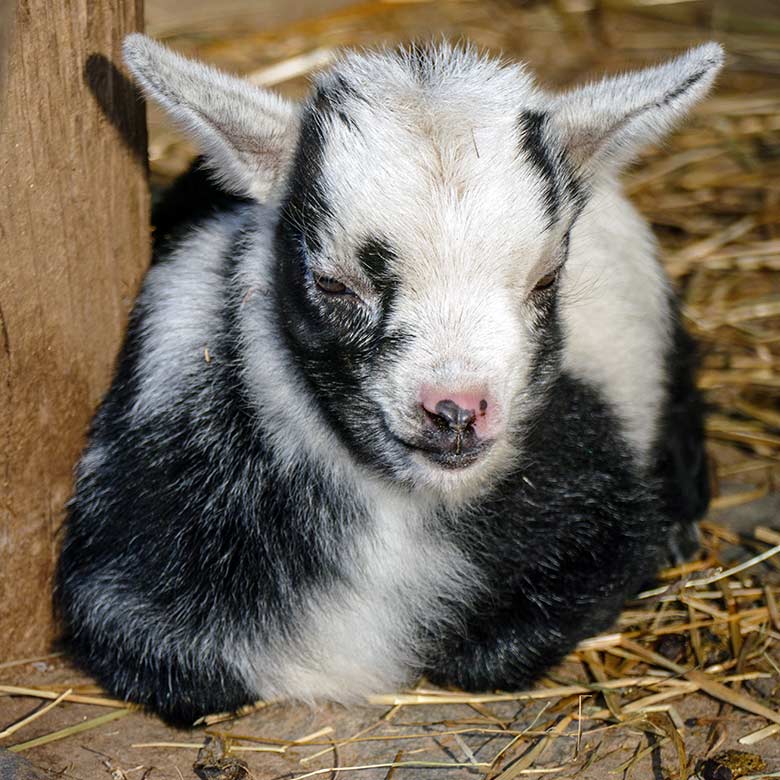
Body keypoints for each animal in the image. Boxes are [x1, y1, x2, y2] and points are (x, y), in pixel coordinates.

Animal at [58, 38, 724, 724]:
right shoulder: (118, 577)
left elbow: (490, 655)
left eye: (546, 280)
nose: (457, 410)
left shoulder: (604, 523)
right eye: (332, 284)